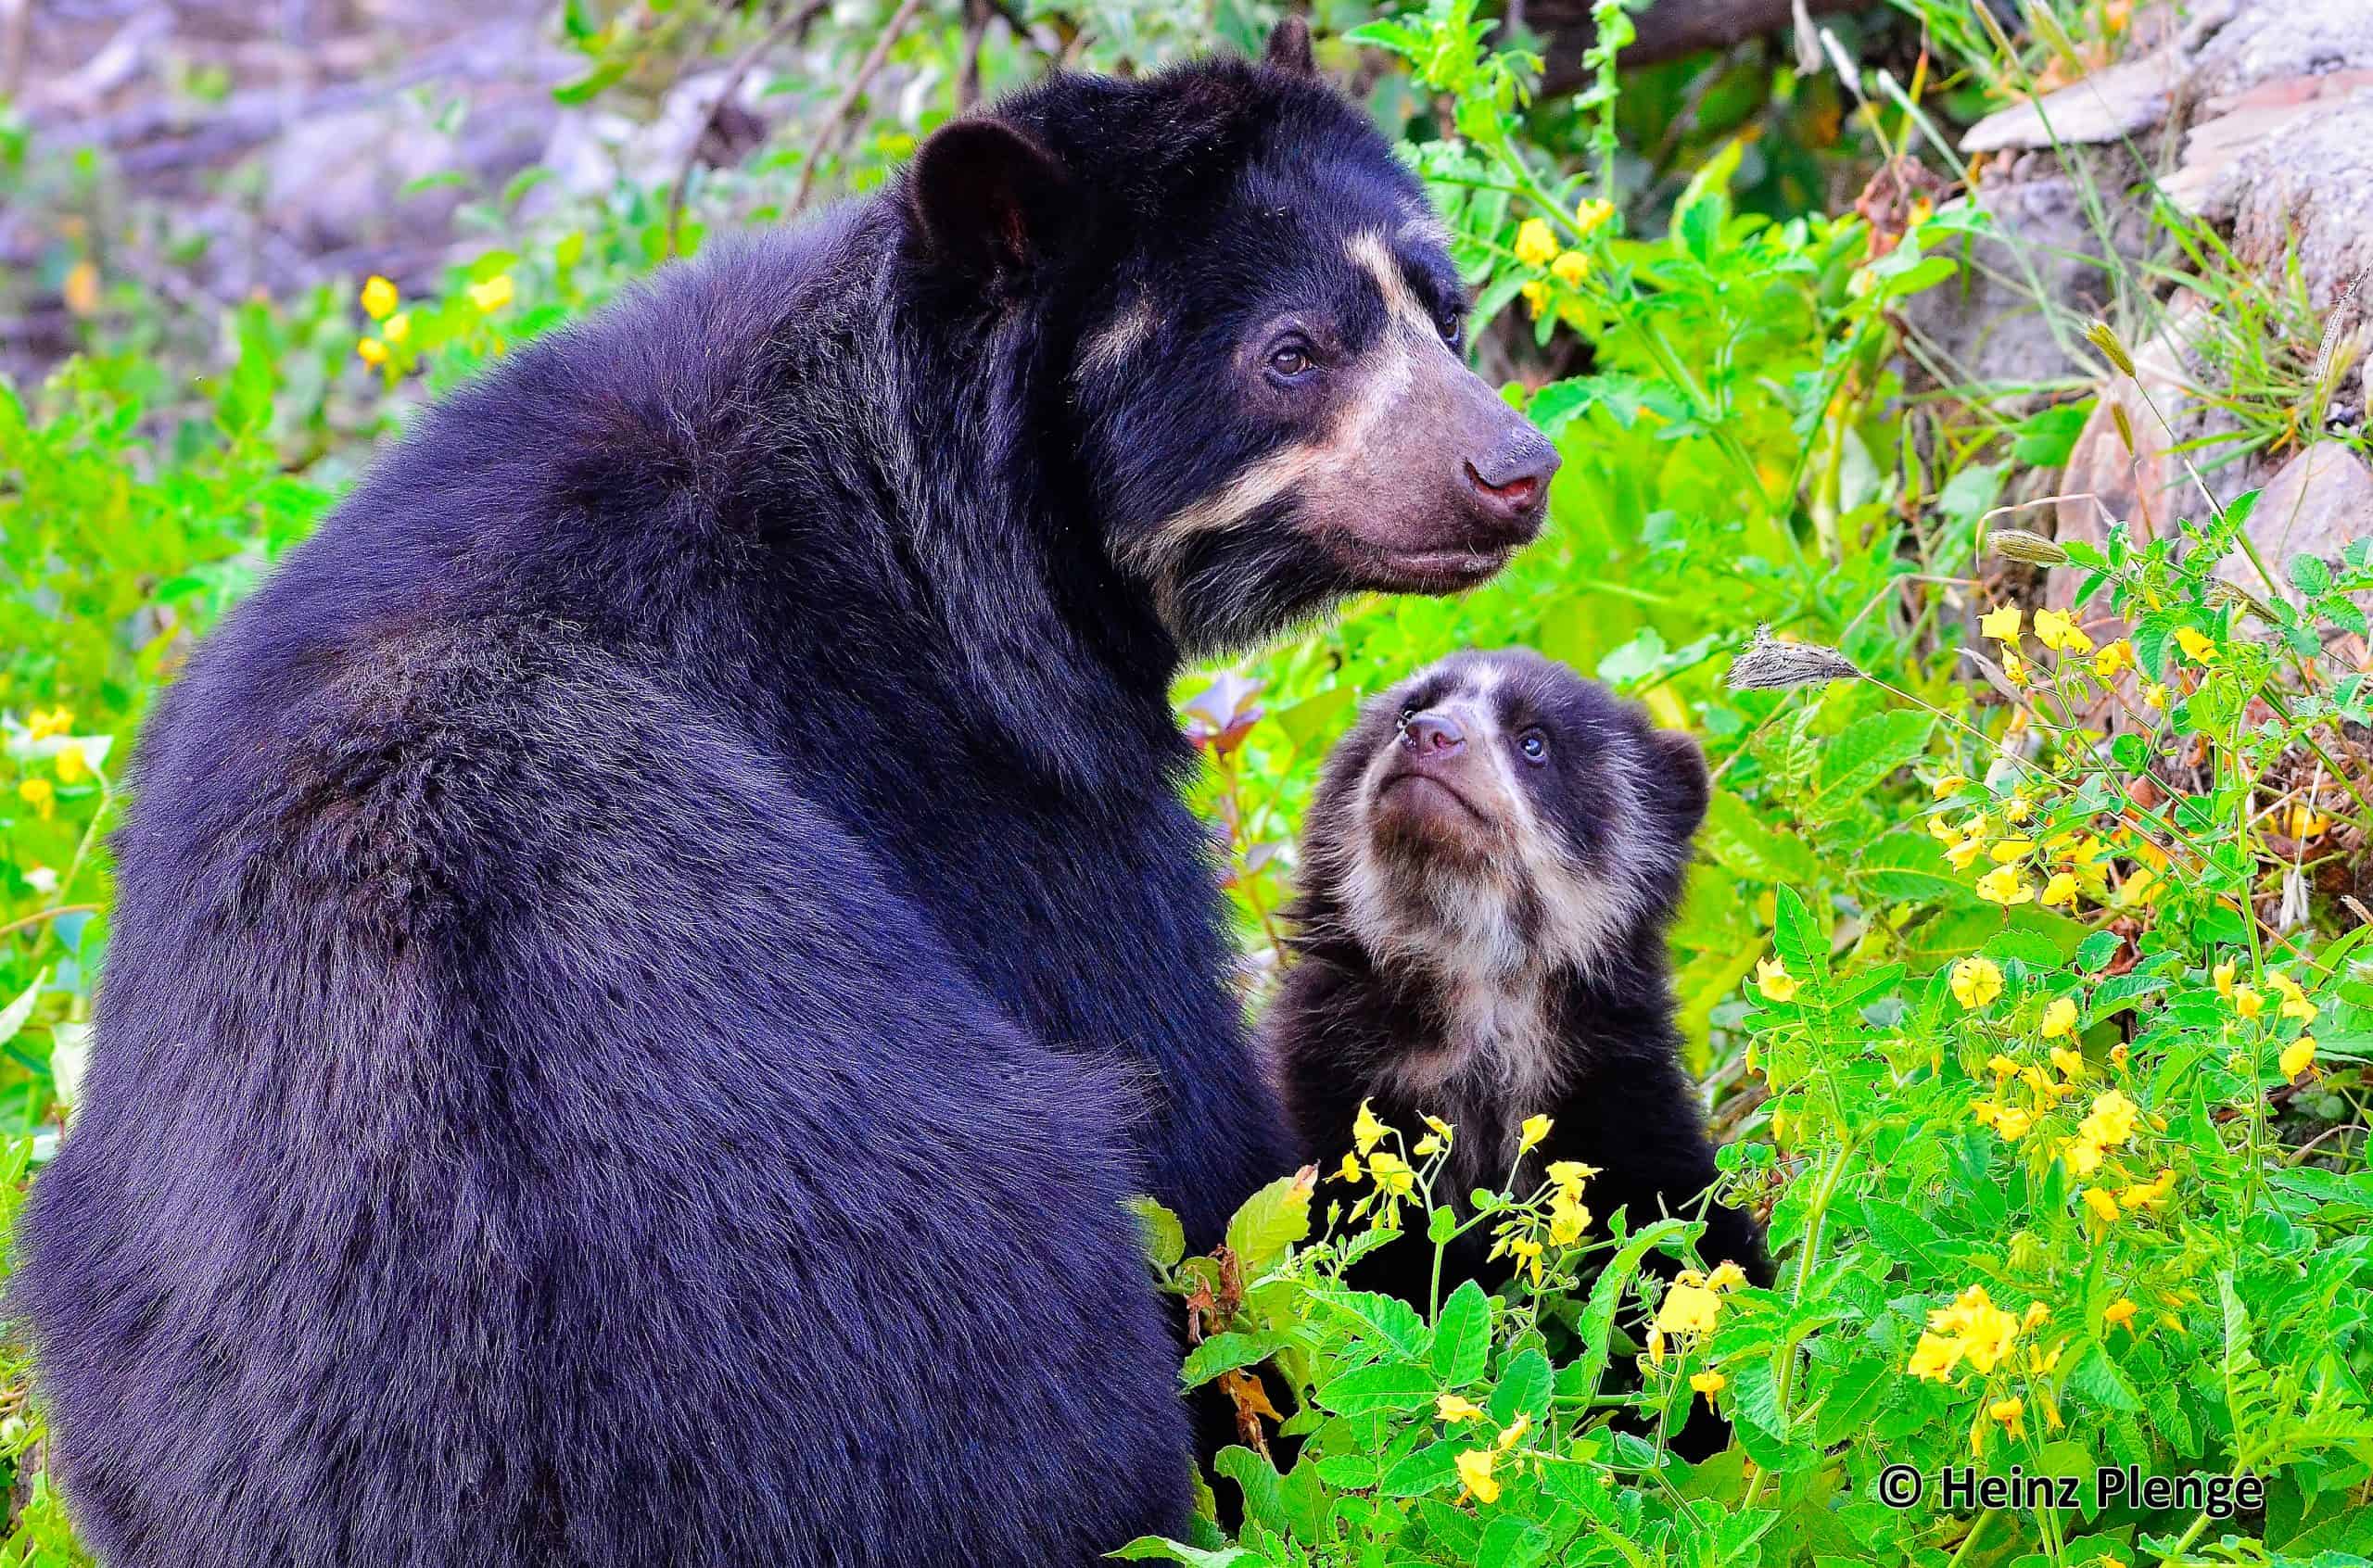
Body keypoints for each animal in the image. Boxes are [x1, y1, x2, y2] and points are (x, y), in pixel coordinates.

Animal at [14, 15, 1556, 1565]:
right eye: (1291, 354)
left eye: (1439, 307)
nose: (1514, 470)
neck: (942, 517)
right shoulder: (965, 762)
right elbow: (1184, 1108)